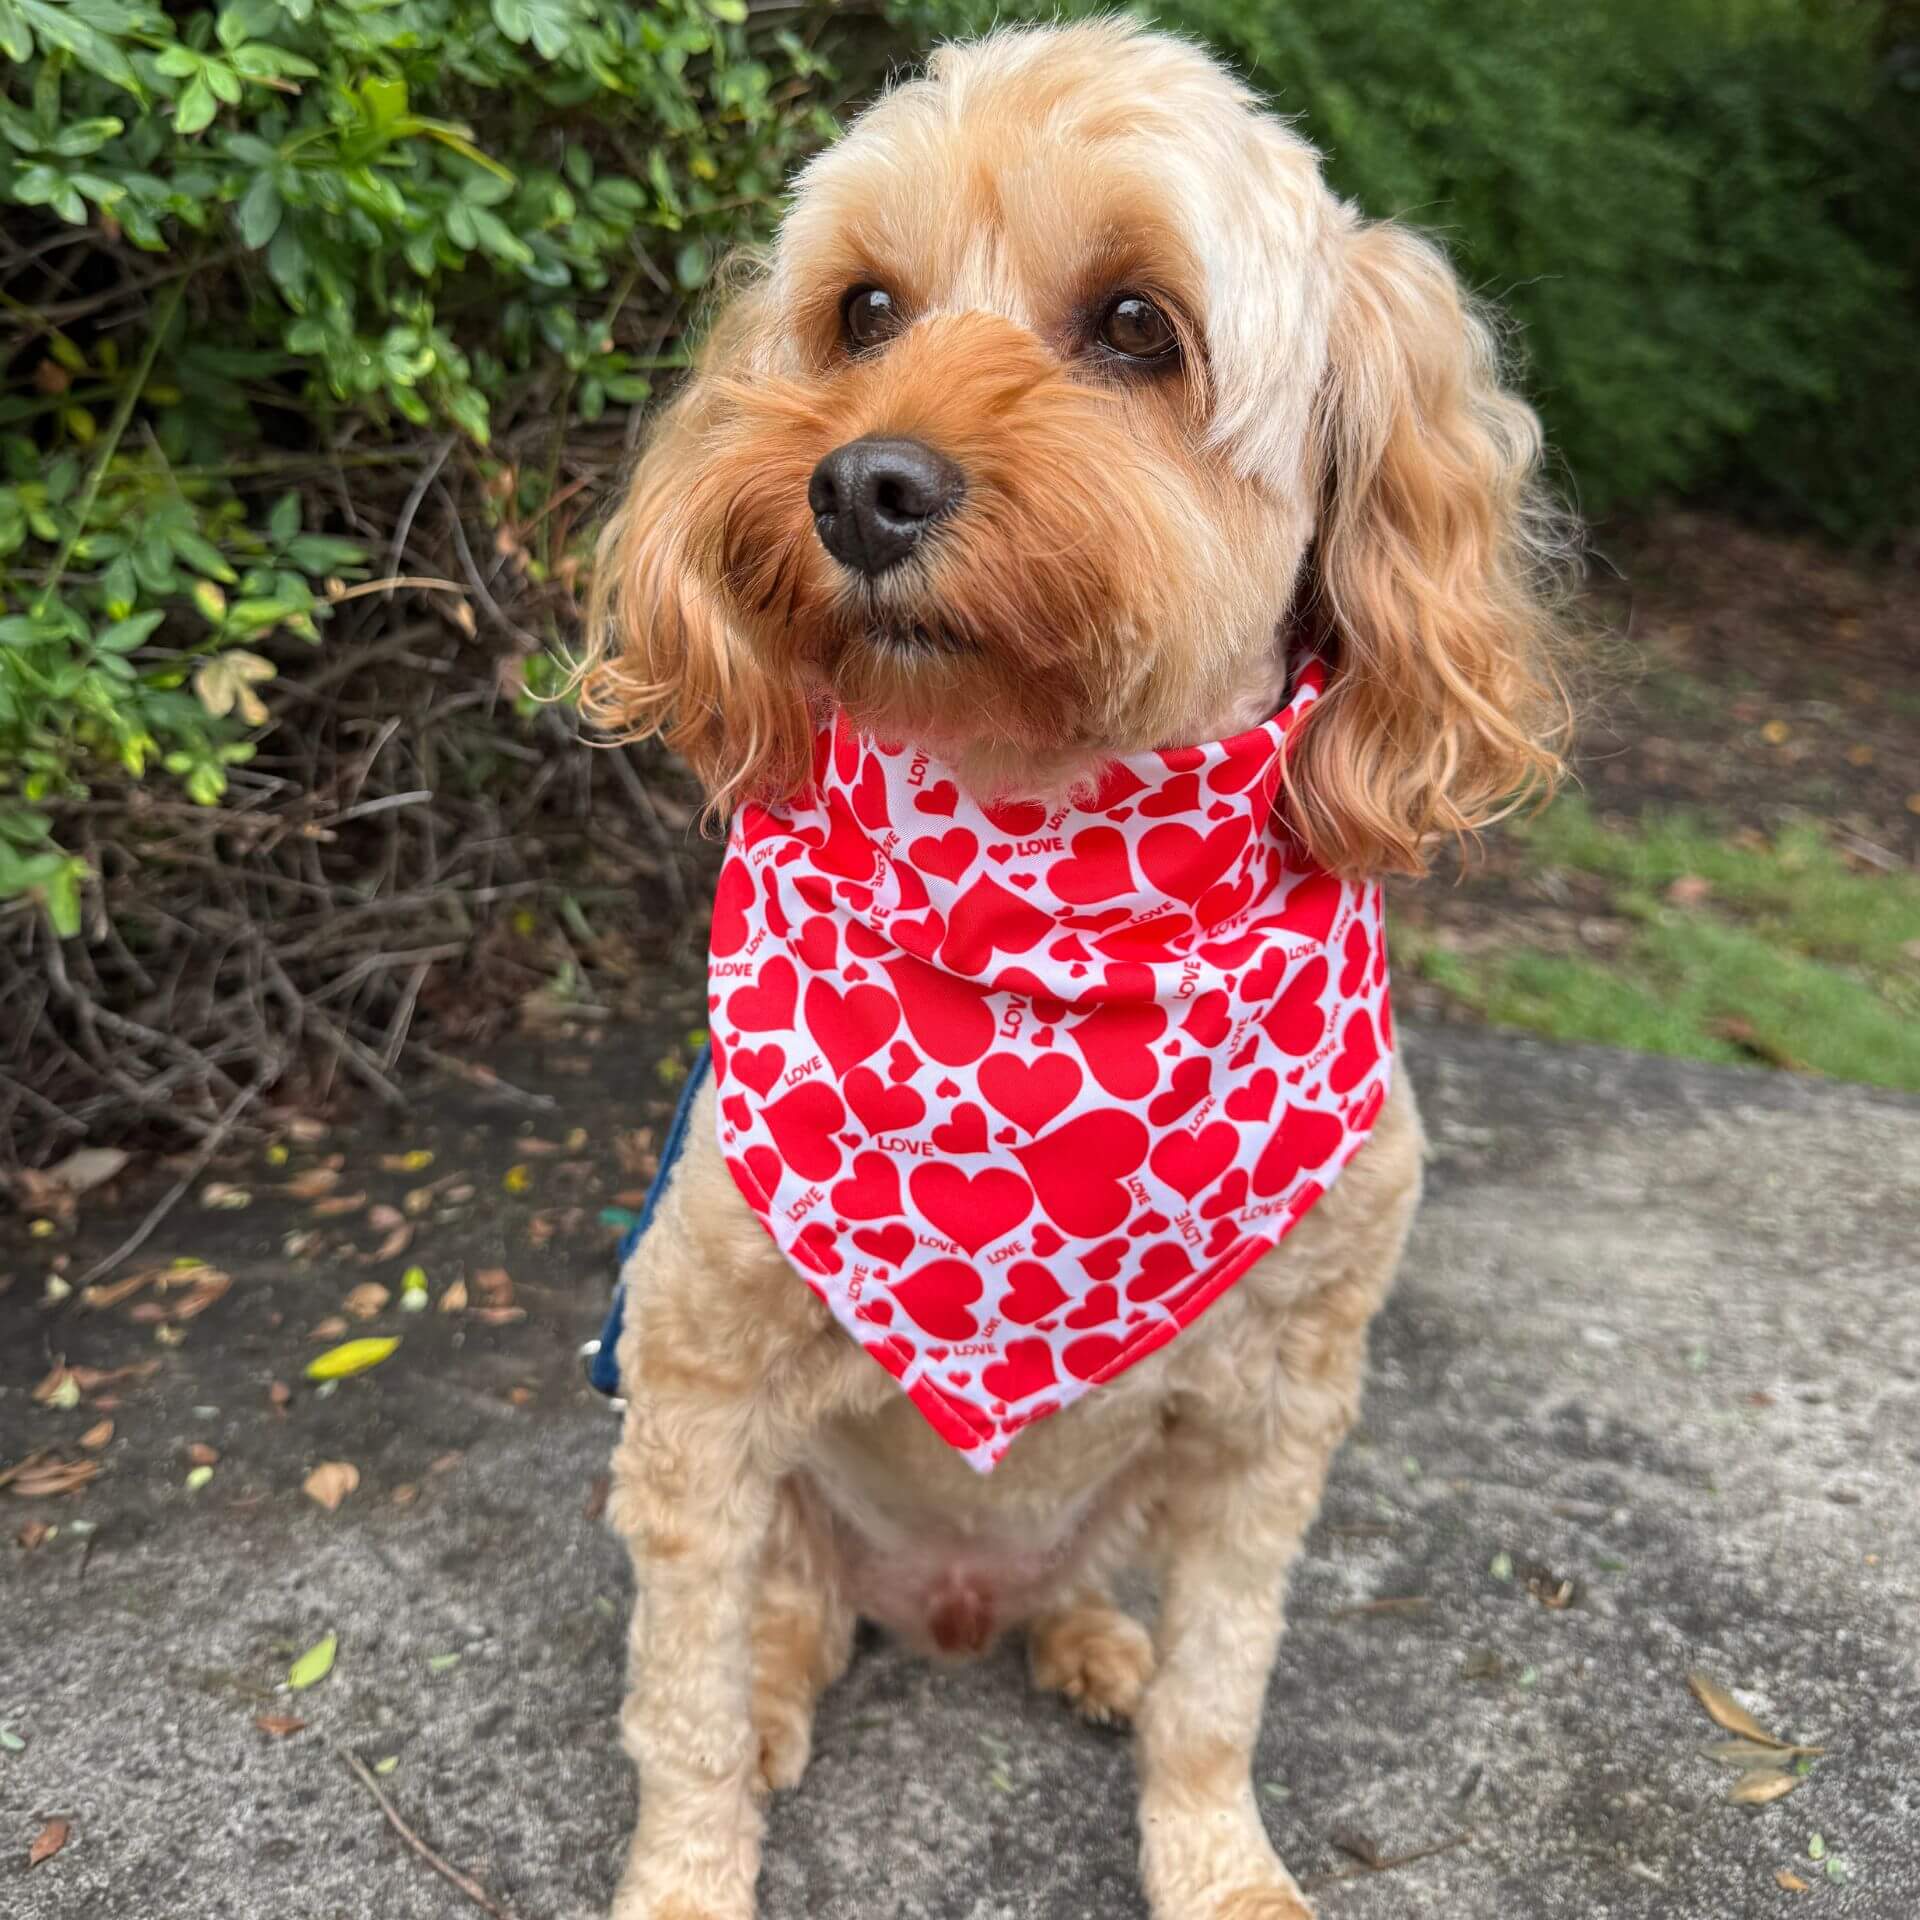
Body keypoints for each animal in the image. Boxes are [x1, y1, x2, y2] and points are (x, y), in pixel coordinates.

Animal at [576, 18, 1566, 1920]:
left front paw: (1219, 1864)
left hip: (1138, 1486)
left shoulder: (1275, 1421)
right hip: (793, 1507)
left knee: (1093, 1601)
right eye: (863, 310)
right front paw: (687, 1874)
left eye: (1135, 324)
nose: (860, 484)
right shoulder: (697, 1387)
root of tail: (953, 1605)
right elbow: (678, 1714)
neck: (1046, 874)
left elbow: (1220, 1690)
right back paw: (793, 1691)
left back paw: (1092, 1640)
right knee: (785, 1630)